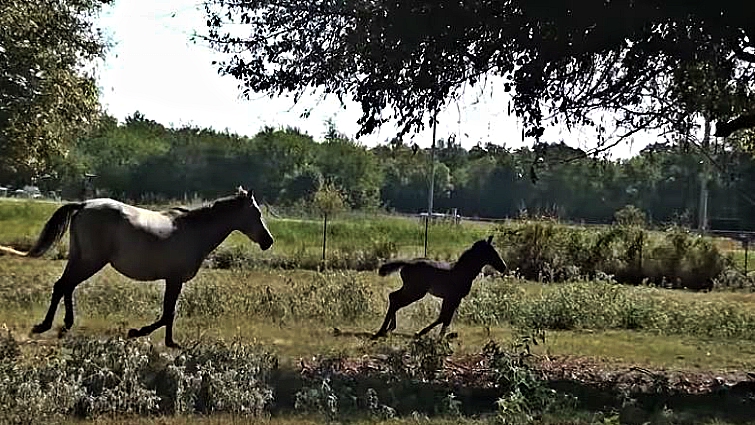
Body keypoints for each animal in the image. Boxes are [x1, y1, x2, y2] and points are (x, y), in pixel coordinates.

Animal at [0, 186, 273, 348]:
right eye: (257, 214)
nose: (268, 241)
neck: (193, 231)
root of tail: (84, 205)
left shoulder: (173, 281)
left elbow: (169, 312)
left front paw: (170, 342)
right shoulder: (174, 279)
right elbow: (167, 313)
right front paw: (139, 332)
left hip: (80, 258)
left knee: (66, 287)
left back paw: (65, 325)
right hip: (90, 261)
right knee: (63, 286)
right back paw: (44, 326)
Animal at [371, 235, 507, 340]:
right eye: (492, 253)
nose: (503, 267)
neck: (463, 272)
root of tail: (407, 263)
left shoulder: (452, 299)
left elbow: (445, 317)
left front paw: (438, 336)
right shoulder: (453, 297)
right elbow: (444, 317)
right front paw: (429, 335)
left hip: (411, 289)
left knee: (393, 297)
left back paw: (388, 329)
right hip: (415, 291)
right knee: (395, 300)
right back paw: (382, 330)